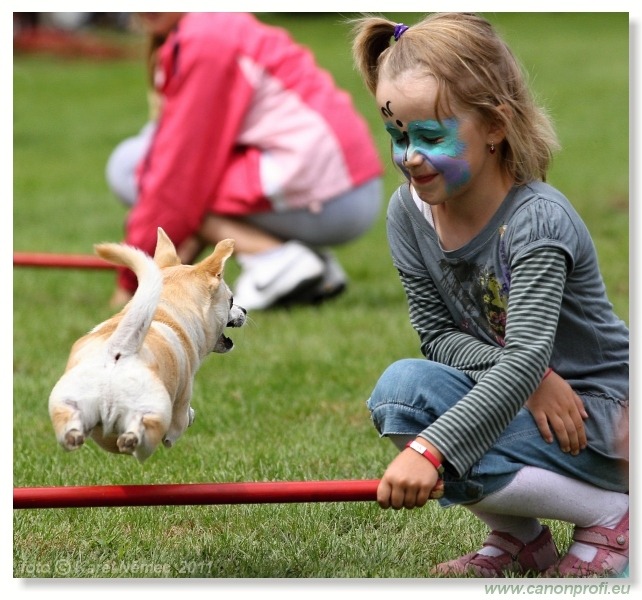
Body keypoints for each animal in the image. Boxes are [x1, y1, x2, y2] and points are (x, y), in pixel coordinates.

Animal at [48, 227, 245, 462]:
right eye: (231, 300)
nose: (245, 311)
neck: (164, 309)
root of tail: (119, 348)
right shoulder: (180, 407)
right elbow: (183, 420)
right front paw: (191, 416)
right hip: (155, 411)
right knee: (145, 432)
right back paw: (131, 439)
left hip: (68, 400)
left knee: (70, 428)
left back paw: (76, 436)